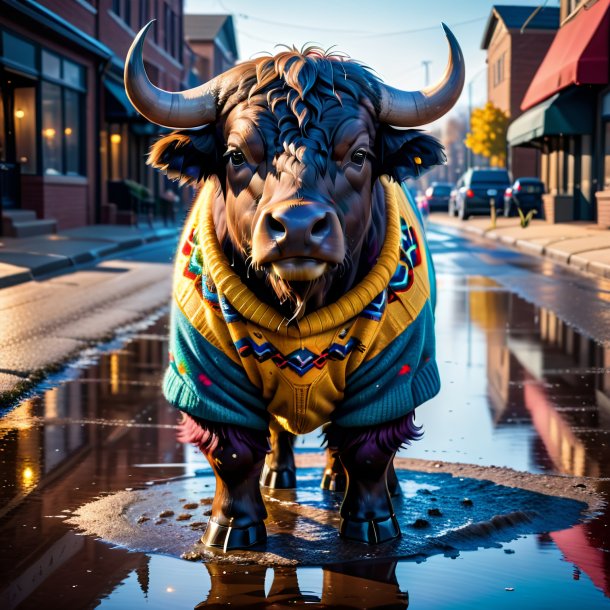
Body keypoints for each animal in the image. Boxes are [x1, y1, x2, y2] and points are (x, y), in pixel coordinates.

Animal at [126, 21, 464, 548]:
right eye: (235, 154)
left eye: (360, 154)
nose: (299, 227)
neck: (300, 301)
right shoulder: (208, 373)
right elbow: (234, 451)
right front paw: (232, 527)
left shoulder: (393, 371)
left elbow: (369, 448)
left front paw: (372, 521)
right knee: (281, 432)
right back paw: (279, 475)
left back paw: (345, 482)